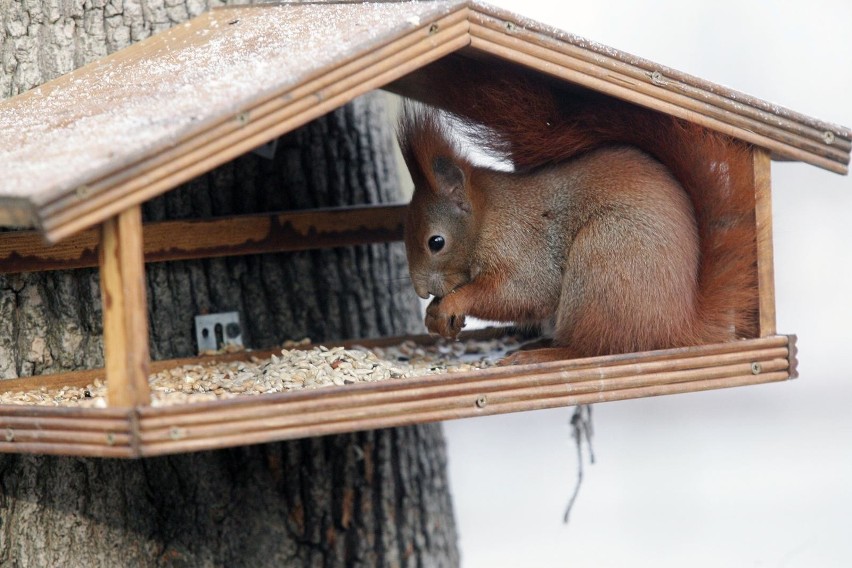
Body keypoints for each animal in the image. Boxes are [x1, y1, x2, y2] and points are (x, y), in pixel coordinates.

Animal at [400, 57, 760, 364]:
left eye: (436, 242)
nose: (420, 291)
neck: (488, 216)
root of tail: (678, 327)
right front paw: (435, 314)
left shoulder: (522, 245)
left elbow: (523, 293)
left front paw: (451, 303)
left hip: (603, 262)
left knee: (593, 348)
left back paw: (542, 355)